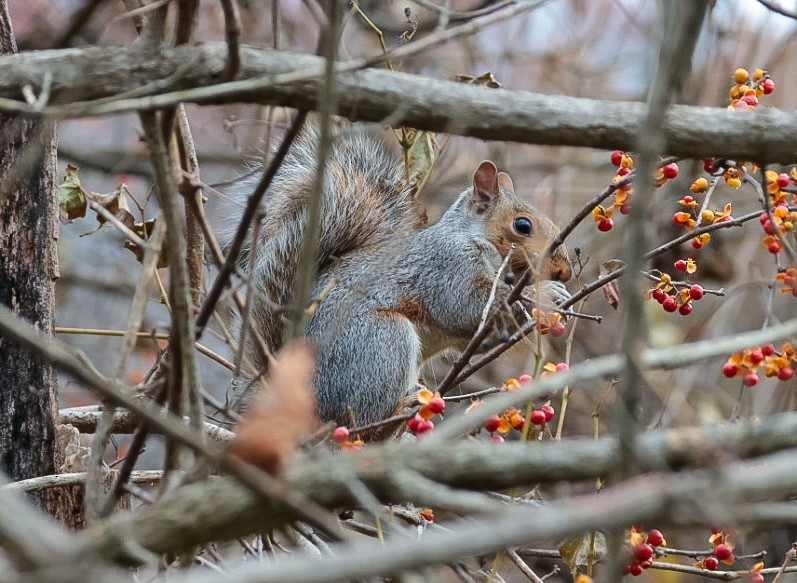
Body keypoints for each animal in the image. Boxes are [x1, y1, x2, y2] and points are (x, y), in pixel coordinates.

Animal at [229, 124, 573, 429]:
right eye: (522, 225)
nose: (565, 271)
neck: (470, 235)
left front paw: (554, 294)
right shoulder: (446, 264)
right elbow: (465, 304)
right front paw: (543, 294)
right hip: (379, 342)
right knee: (361, 418)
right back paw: (397, 411)